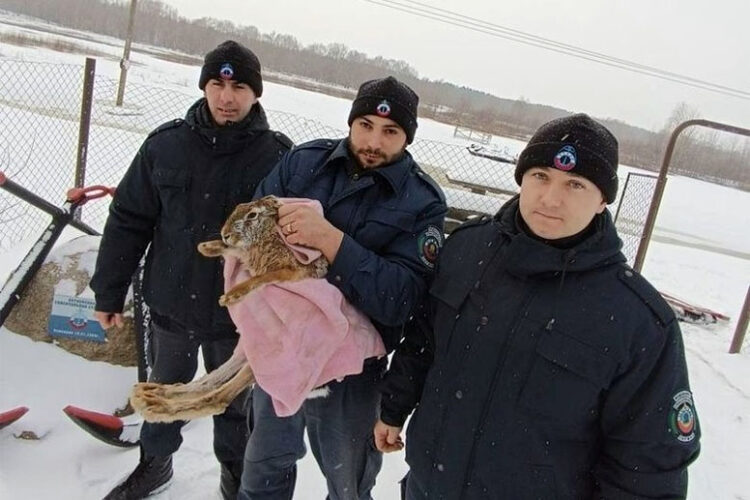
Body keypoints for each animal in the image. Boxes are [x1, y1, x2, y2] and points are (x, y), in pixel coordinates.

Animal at [130, 195, 329, 422]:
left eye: (252, 215)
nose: (225, 233)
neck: (268, 233)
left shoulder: (293, 270)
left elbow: (262, 277)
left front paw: (231, 296)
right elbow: (237, 251)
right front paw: (207, 247)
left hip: (261, 364)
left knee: (219, 397)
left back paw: (155, 405)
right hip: (246, 354)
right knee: (208, 381)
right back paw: (151, 393)